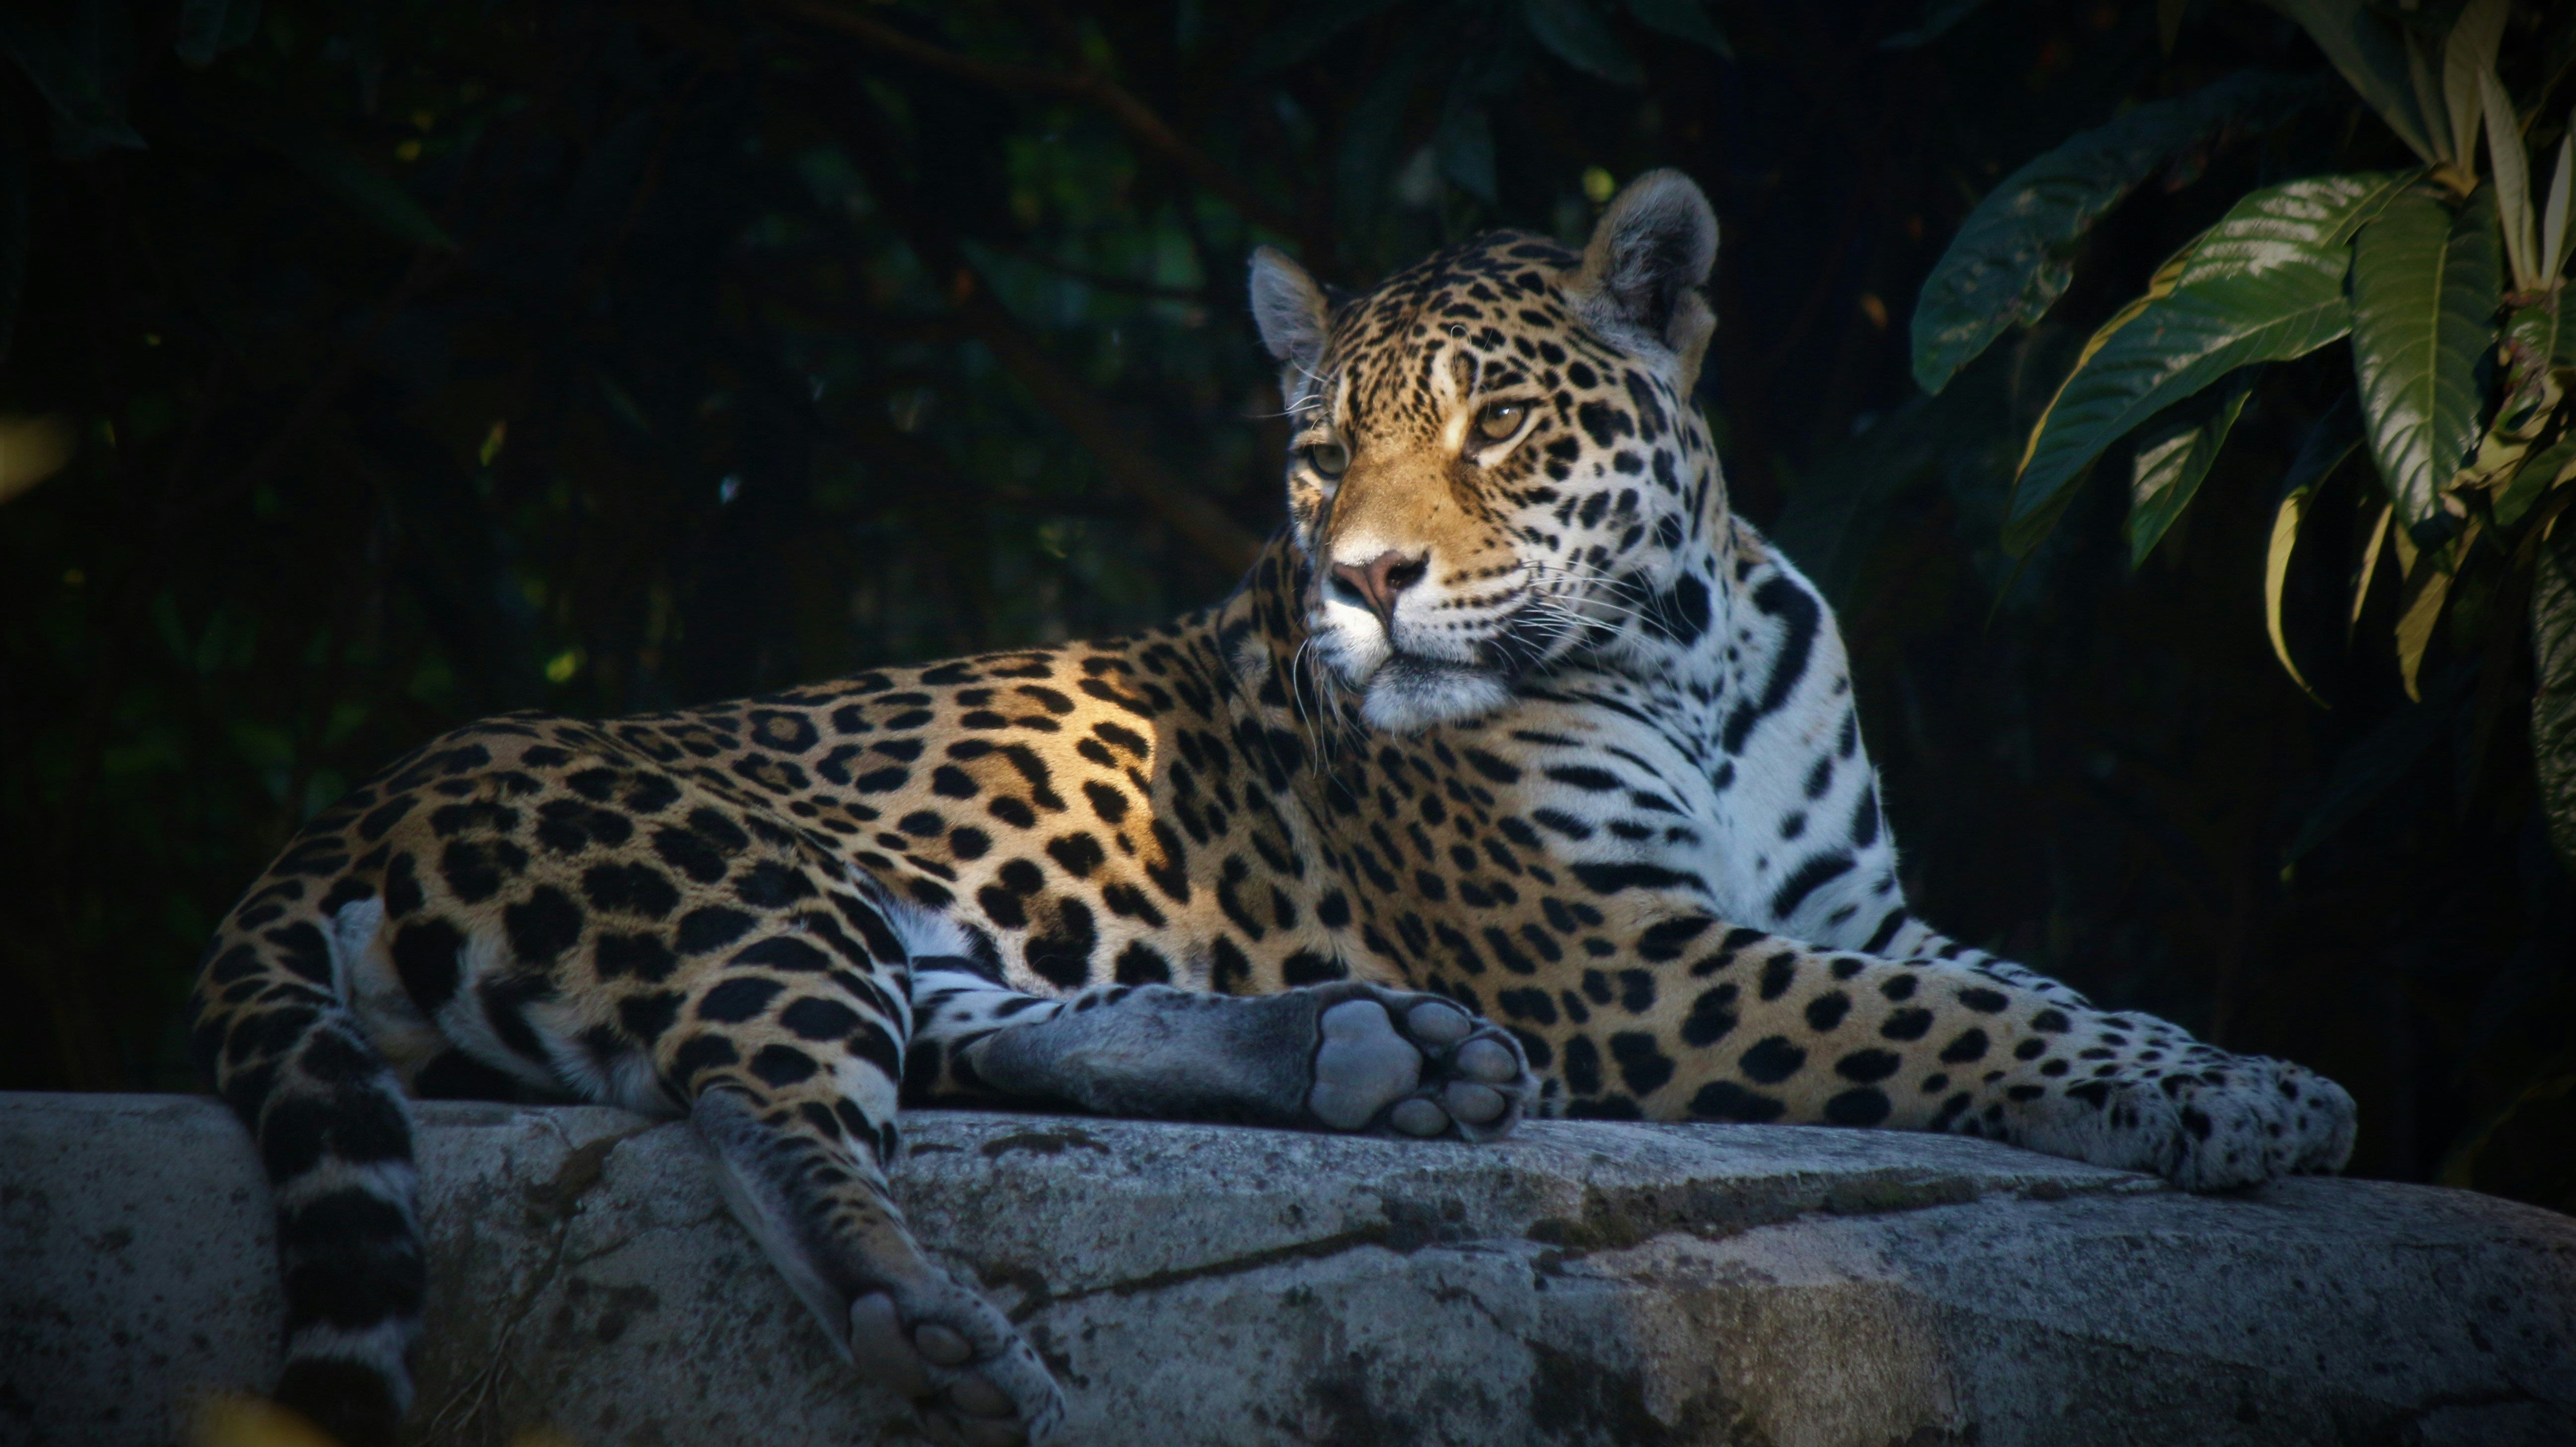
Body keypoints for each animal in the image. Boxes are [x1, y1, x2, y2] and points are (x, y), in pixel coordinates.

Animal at [189, 170, 2356, 1447]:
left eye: (1497, 426)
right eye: (1320, 453)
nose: (1365, 578)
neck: (1683, 649)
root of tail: (336, 816)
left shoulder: (1848, 905)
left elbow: (2031, 983)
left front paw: (2242, 1070)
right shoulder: (1630, 959)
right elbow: (1957, 1019)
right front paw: (2230, 1101)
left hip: (881, 935)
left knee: (982, 1040)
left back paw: (1371, 1055)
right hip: (739, 887)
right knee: (744, 1091)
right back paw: (936, 1324)